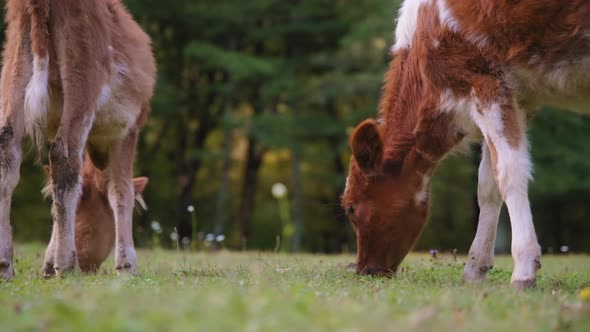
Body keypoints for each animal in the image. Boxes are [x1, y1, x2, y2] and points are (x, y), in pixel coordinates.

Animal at [0, 0, 156, 280]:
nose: (85, 260)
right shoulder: (129, 128)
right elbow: (122, 192)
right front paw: (127, 265)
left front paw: (48, 264)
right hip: (84, 69)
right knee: (64, 156)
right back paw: (67, 265)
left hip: (13, 62)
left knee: (7, 150)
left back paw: (5, 264)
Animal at [342, 0, 590, 290]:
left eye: (350, 207)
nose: (366, 271)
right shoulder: (519, 98)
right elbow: (488, 185)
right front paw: (475, 268)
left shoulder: (484, 81)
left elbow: (509, 173)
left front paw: (524, 270)